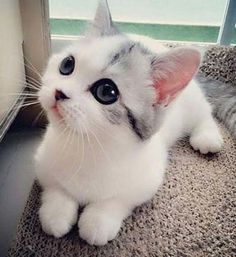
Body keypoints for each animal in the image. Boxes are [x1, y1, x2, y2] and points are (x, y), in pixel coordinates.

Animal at [35, 0, 223, 244]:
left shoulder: (147, 178)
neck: (87, 147)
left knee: (206, 112)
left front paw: (98, 221)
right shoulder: (43, 163)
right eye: (67, 64)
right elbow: (55, 187)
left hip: (192, 103)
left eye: (106, 91)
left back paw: (208, 136)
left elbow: (119, 199)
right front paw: (56, 214)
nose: (59, 93)